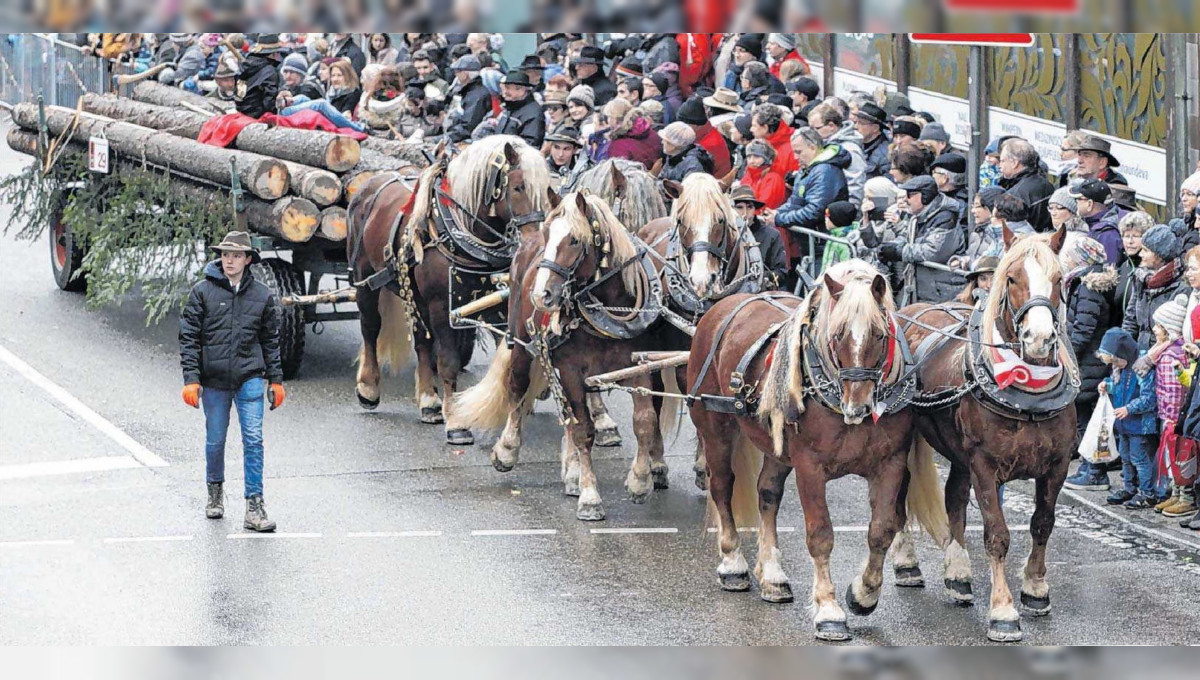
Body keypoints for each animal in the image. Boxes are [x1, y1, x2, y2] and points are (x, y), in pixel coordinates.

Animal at [691, 260, 950, 642]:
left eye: (880, 334)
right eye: (838, 334)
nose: (858, 406)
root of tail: (721, 307)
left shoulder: (890, 463)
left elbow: (882, 529)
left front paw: (864, 593)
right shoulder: (810, 468)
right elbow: (821, 536)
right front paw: (828, 610)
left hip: (776, 445)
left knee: (767, 494)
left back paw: (773, 576)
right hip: (716, 428)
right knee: (722, 488)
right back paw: (733, 564)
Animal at [892, 226, 1080, 647]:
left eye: (1060, 279)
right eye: (1011, 279)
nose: (1040, 338)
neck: (1027, 394)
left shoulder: (1057, 466)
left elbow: (1043, 523)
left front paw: (1035, 589)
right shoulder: (986, 466)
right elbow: (997, 534)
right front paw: (1003, 611)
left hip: (959, 455)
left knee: (955, 500)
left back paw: (958, 575)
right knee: (898, 495)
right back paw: (906, 563)